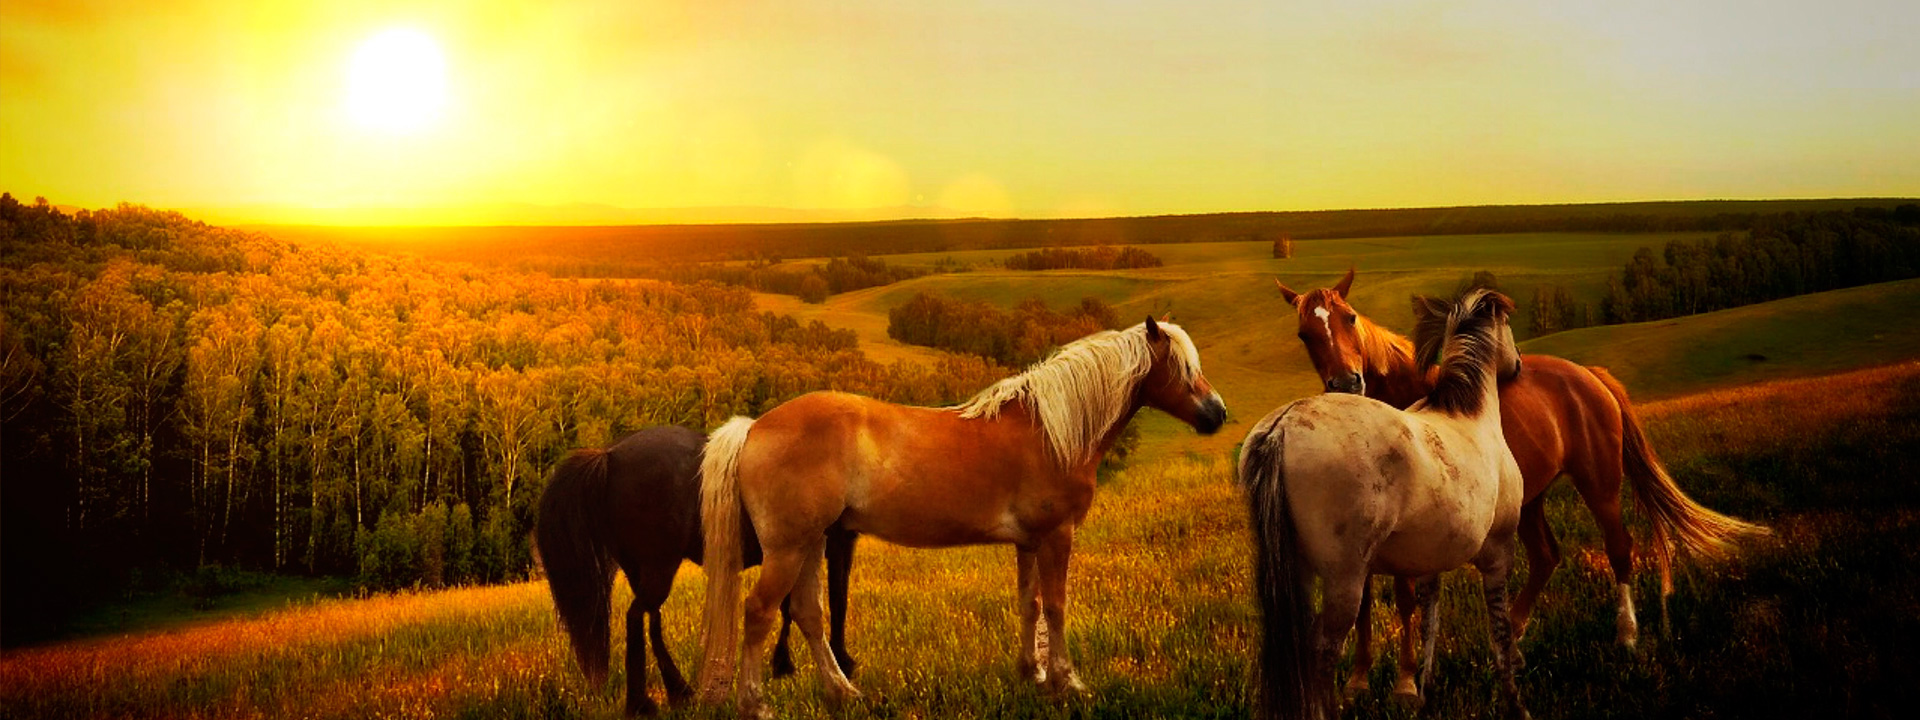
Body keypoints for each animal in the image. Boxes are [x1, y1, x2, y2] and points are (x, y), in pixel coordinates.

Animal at [533, 425, 859, 716]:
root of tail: (609, 456)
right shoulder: (833, 543)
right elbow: (835, 600)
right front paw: (842, 663)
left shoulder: (794, 550)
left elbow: (790, 607)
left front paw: (784, 663)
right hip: (658, 567)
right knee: (636, 617)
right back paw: (642, 703)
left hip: (644, 571)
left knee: (652, 618)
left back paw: (679, 691)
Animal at [694, 317, 1227, 718]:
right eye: (1181, 367)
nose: (1217, 413)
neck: (1050, 430)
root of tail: (755, 427)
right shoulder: (1057, 536)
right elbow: (1056, 607)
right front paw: (1067, 682)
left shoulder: (1029, 542)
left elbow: (1030, 604)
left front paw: (1031, 674)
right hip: (787, 549)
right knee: (758, 613)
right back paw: (755, 704)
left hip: (813, 542)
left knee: (808, 614)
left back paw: (843, 693)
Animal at [1240, 288, 1531, 720]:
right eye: (1509, 324)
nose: (1518, 364)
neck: (1470, 415)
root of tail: (1283, 426)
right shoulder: (1498, 554)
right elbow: (1500, 632)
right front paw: (1515, 702)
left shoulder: (1427, 565)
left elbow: (1428, 623)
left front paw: (1422, 692)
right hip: (1343, 581)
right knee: (1322, 649)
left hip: (1299, 574)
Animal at [1274, 269, 1766, 697]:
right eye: (1304, 335)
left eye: (1350, 318)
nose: (1347, 383)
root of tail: (1590, 375)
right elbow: (1364, 602)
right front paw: (1359, 680)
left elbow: (1404, 597)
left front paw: (1406, 682)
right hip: (1531, 501)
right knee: (1547, 556)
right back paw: (1512, 640)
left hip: (1600, 484)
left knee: (1619, 547)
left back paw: (1625, 635)